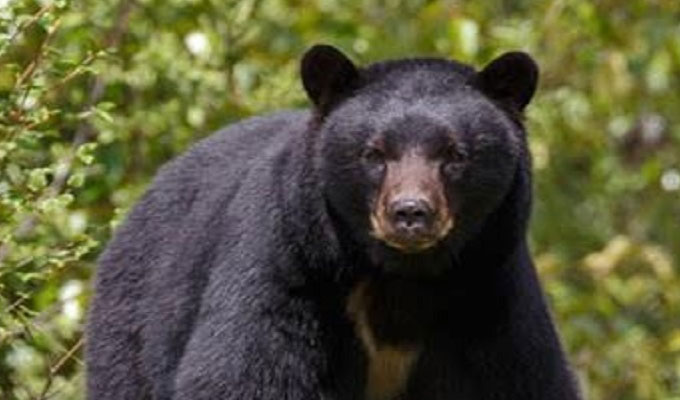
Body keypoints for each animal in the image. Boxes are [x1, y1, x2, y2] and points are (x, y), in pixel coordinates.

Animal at [86, 44, 582, 400]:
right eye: (374, 154)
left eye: (455, 155)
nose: (410, 213)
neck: (402, 279)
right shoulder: (289, 266)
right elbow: (247, 371)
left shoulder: (489, 295)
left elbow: (523, 378)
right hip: (133, 324)